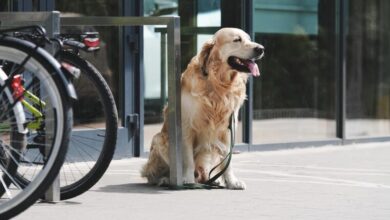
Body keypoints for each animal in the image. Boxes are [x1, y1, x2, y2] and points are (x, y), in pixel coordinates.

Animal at [139, 27, 262, 189]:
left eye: (249, 39)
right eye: (237, 40)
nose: (261, 49)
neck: (218, 83)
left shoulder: (228, 128)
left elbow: (227, 161)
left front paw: (232, 181)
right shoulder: (186, 126)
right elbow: (187, 159)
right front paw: (187, 179)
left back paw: (213, 180)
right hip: (159, 139)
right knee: (154, 175)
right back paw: (167, 179)